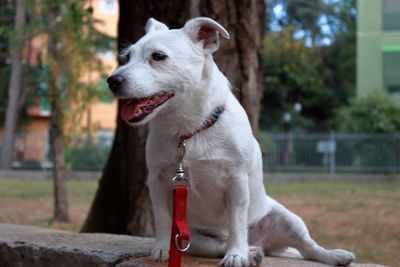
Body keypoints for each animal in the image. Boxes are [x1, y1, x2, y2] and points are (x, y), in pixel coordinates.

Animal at [107, 17, 356, 266]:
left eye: (158, 56)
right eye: (126, 57)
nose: (112, 80)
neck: (189, 128)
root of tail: (264, 243)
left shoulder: (236, 181)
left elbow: (236, 222)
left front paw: (236, 254)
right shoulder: (158, 181)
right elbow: (162, 217)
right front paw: (161, 248)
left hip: (288, 219)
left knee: (307, 247)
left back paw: (332, 255)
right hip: (195, 239)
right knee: (217, 246)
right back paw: (252, 251)